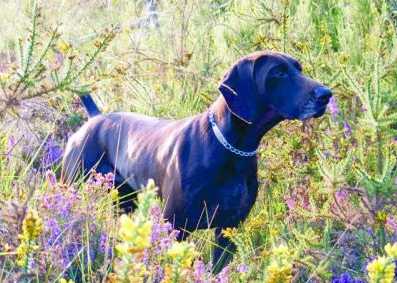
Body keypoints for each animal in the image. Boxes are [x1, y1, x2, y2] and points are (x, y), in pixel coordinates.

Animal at [62, 51, 330, 270]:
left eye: (299, 69)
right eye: (278, 72)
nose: (326, 94)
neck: (231, 148)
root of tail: (95, 118)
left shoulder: (227, 230)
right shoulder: (176, 226)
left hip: (126, 201)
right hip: (72, 183)